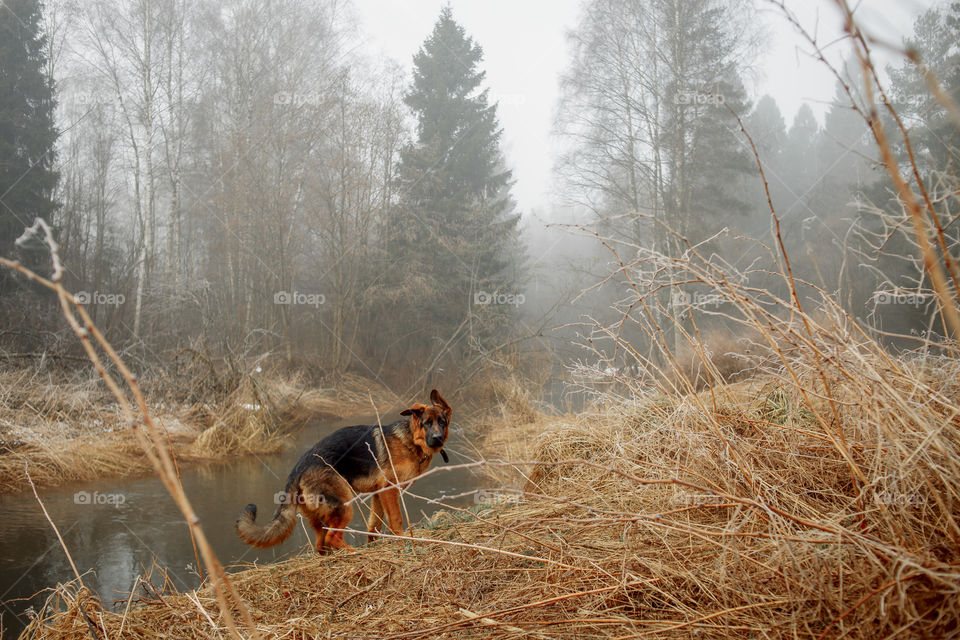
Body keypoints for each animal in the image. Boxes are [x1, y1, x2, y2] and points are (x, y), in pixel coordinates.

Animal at [238, 388, 452, 552]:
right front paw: (403, 542)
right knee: (332, 538)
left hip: (323, 517)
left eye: (442, 422)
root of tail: (299, 467)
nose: (437, 439)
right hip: (344, 505)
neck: (410, 441)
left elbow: (373, 526)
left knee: (321, 545)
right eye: (426, 423)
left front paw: (374, 544)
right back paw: (355, 553)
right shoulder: (388, 489)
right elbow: (396, 520)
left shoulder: (378, 495)